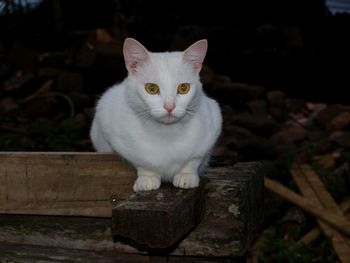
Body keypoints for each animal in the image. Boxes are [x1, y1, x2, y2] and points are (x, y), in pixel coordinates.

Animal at [89, 37, 221, 192]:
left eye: (184, 88)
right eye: (151, 88)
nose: (169, 106)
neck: (166, 134)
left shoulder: (213, 121)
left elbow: (194, 159)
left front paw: (186, 175)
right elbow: (142, 162)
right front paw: (147, 178)